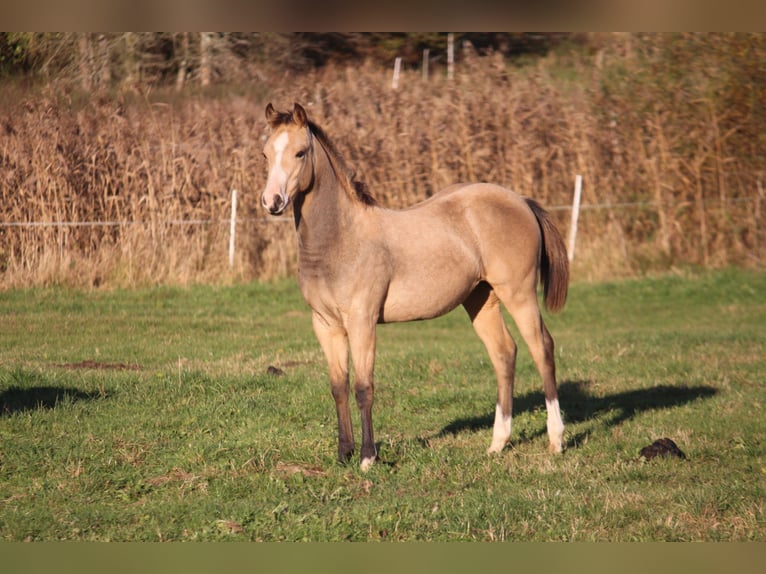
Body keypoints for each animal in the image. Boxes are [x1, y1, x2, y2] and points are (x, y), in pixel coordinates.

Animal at [264, 103, 568, 472]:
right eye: (265, 154)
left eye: (300, 152)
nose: (272, 201)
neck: (340, 238)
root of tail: (521, 200)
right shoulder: (325, 325)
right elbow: (338, 386)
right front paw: (343, 454)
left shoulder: (362, 322)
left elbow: (363, 387)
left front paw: (367, 457)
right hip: (481, 299)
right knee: (504, 353)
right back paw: (497, 444)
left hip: (519, 294)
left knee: (542, 349)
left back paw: (556, 440)